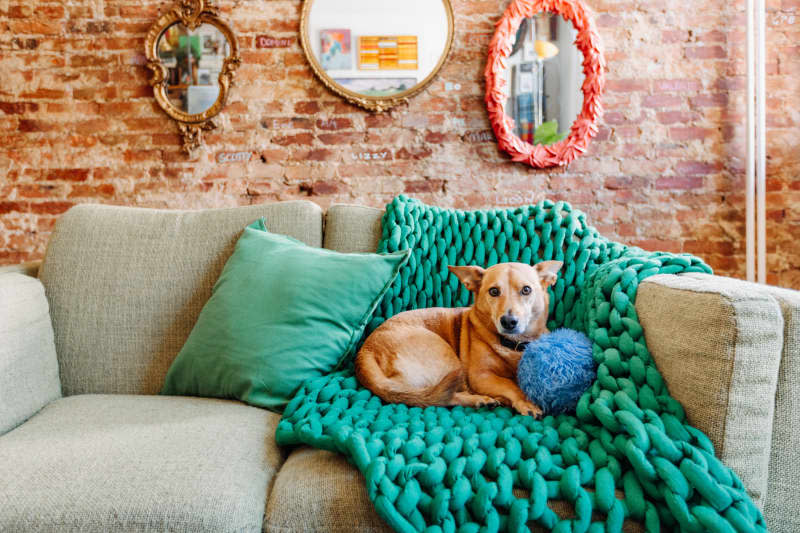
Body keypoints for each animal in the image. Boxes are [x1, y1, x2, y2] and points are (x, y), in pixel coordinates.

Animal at [356, 260, 564, 416]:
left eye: (526, 290)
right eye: (494, 291)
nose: (508, 321)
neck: (512, 345)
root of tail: (365, 352)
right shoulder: (480, 376)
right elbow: (510, 384)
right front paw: (524, 401)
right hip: (446, 356)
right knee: (444, 397)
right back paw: (480, 399)